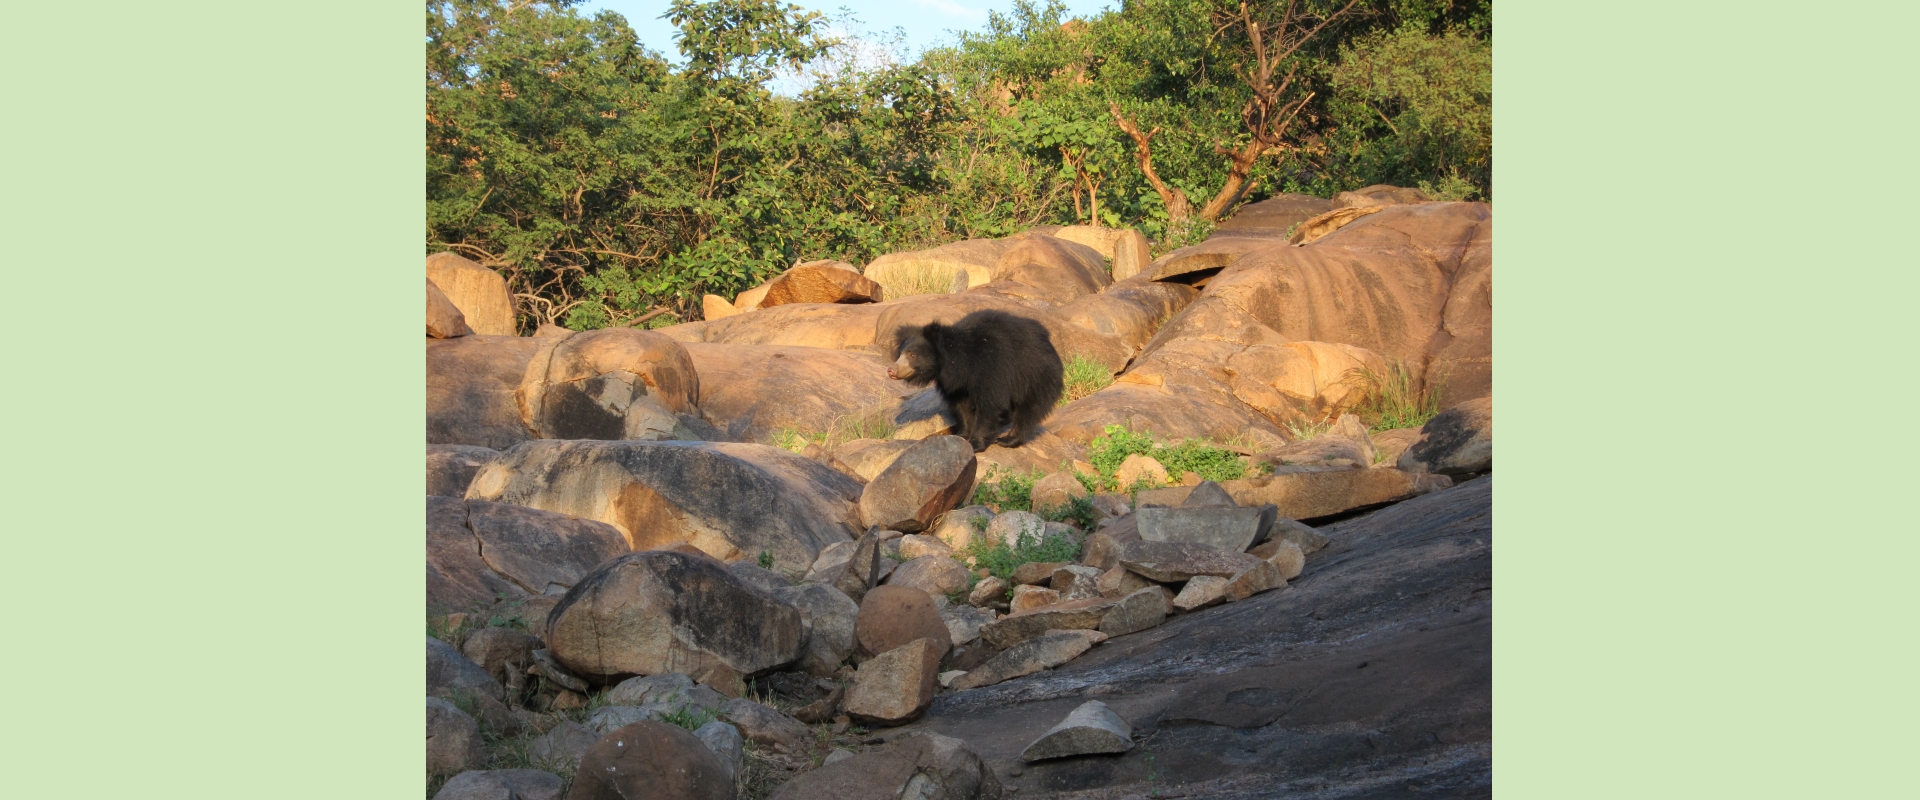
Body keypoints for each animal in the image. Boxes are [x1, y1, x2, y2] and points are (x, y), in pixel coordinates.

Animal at [883, 308, 1067, 452]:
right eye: (900, 354)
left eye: (912, 355)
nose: (891, 370)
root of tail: (1048, 342)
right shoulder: (957, 383)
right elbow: (961, 405)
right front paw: (962, 435)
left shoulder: (992, 368)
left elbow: (990, 405)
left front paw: (975, 443)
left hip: (1035, 375)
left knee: (1030, 409)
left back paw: (1009, 439)